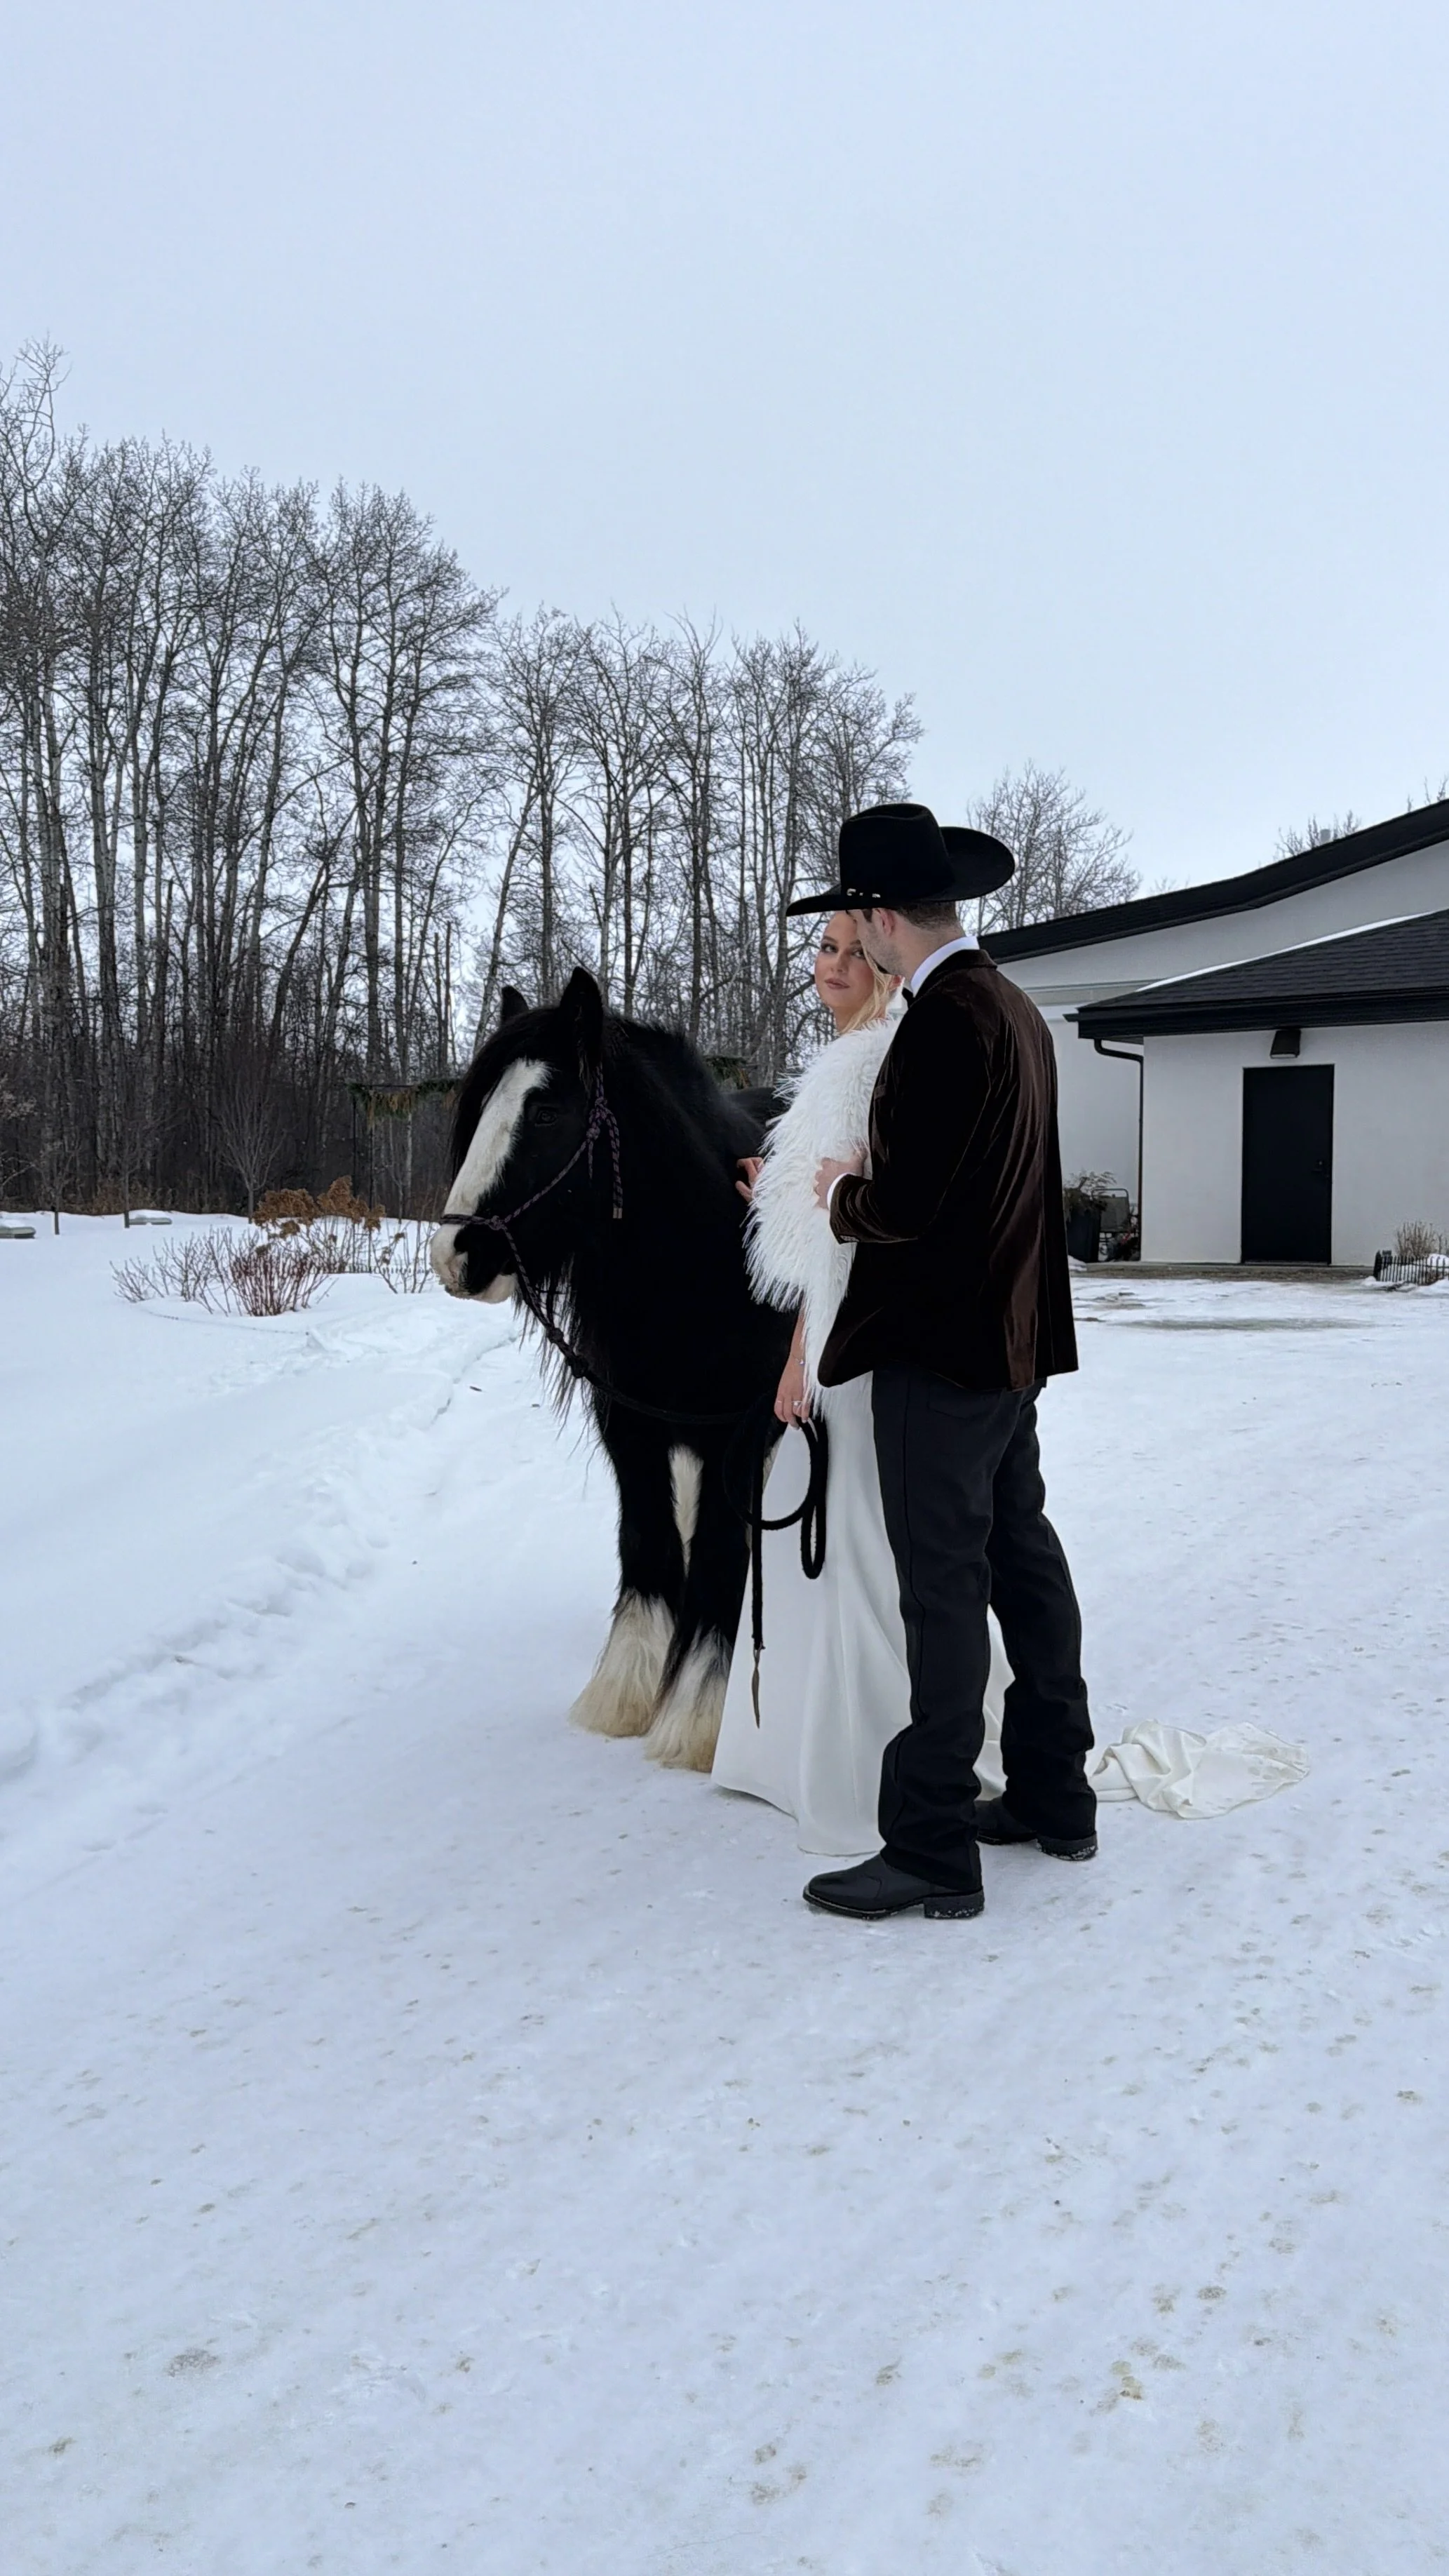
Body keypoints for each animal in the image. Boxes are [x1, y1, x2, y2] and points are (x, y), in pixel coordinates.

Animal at [431, 967, 793, 1769]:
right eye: (479, 1108)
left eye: (544, 1113)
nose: (456, 1255)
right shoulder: (630, 1424)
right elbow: (648, 1542)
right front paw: (626, 1692)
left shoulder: (739, 1430)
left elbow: (720, 1552)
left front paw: (697, 1717)